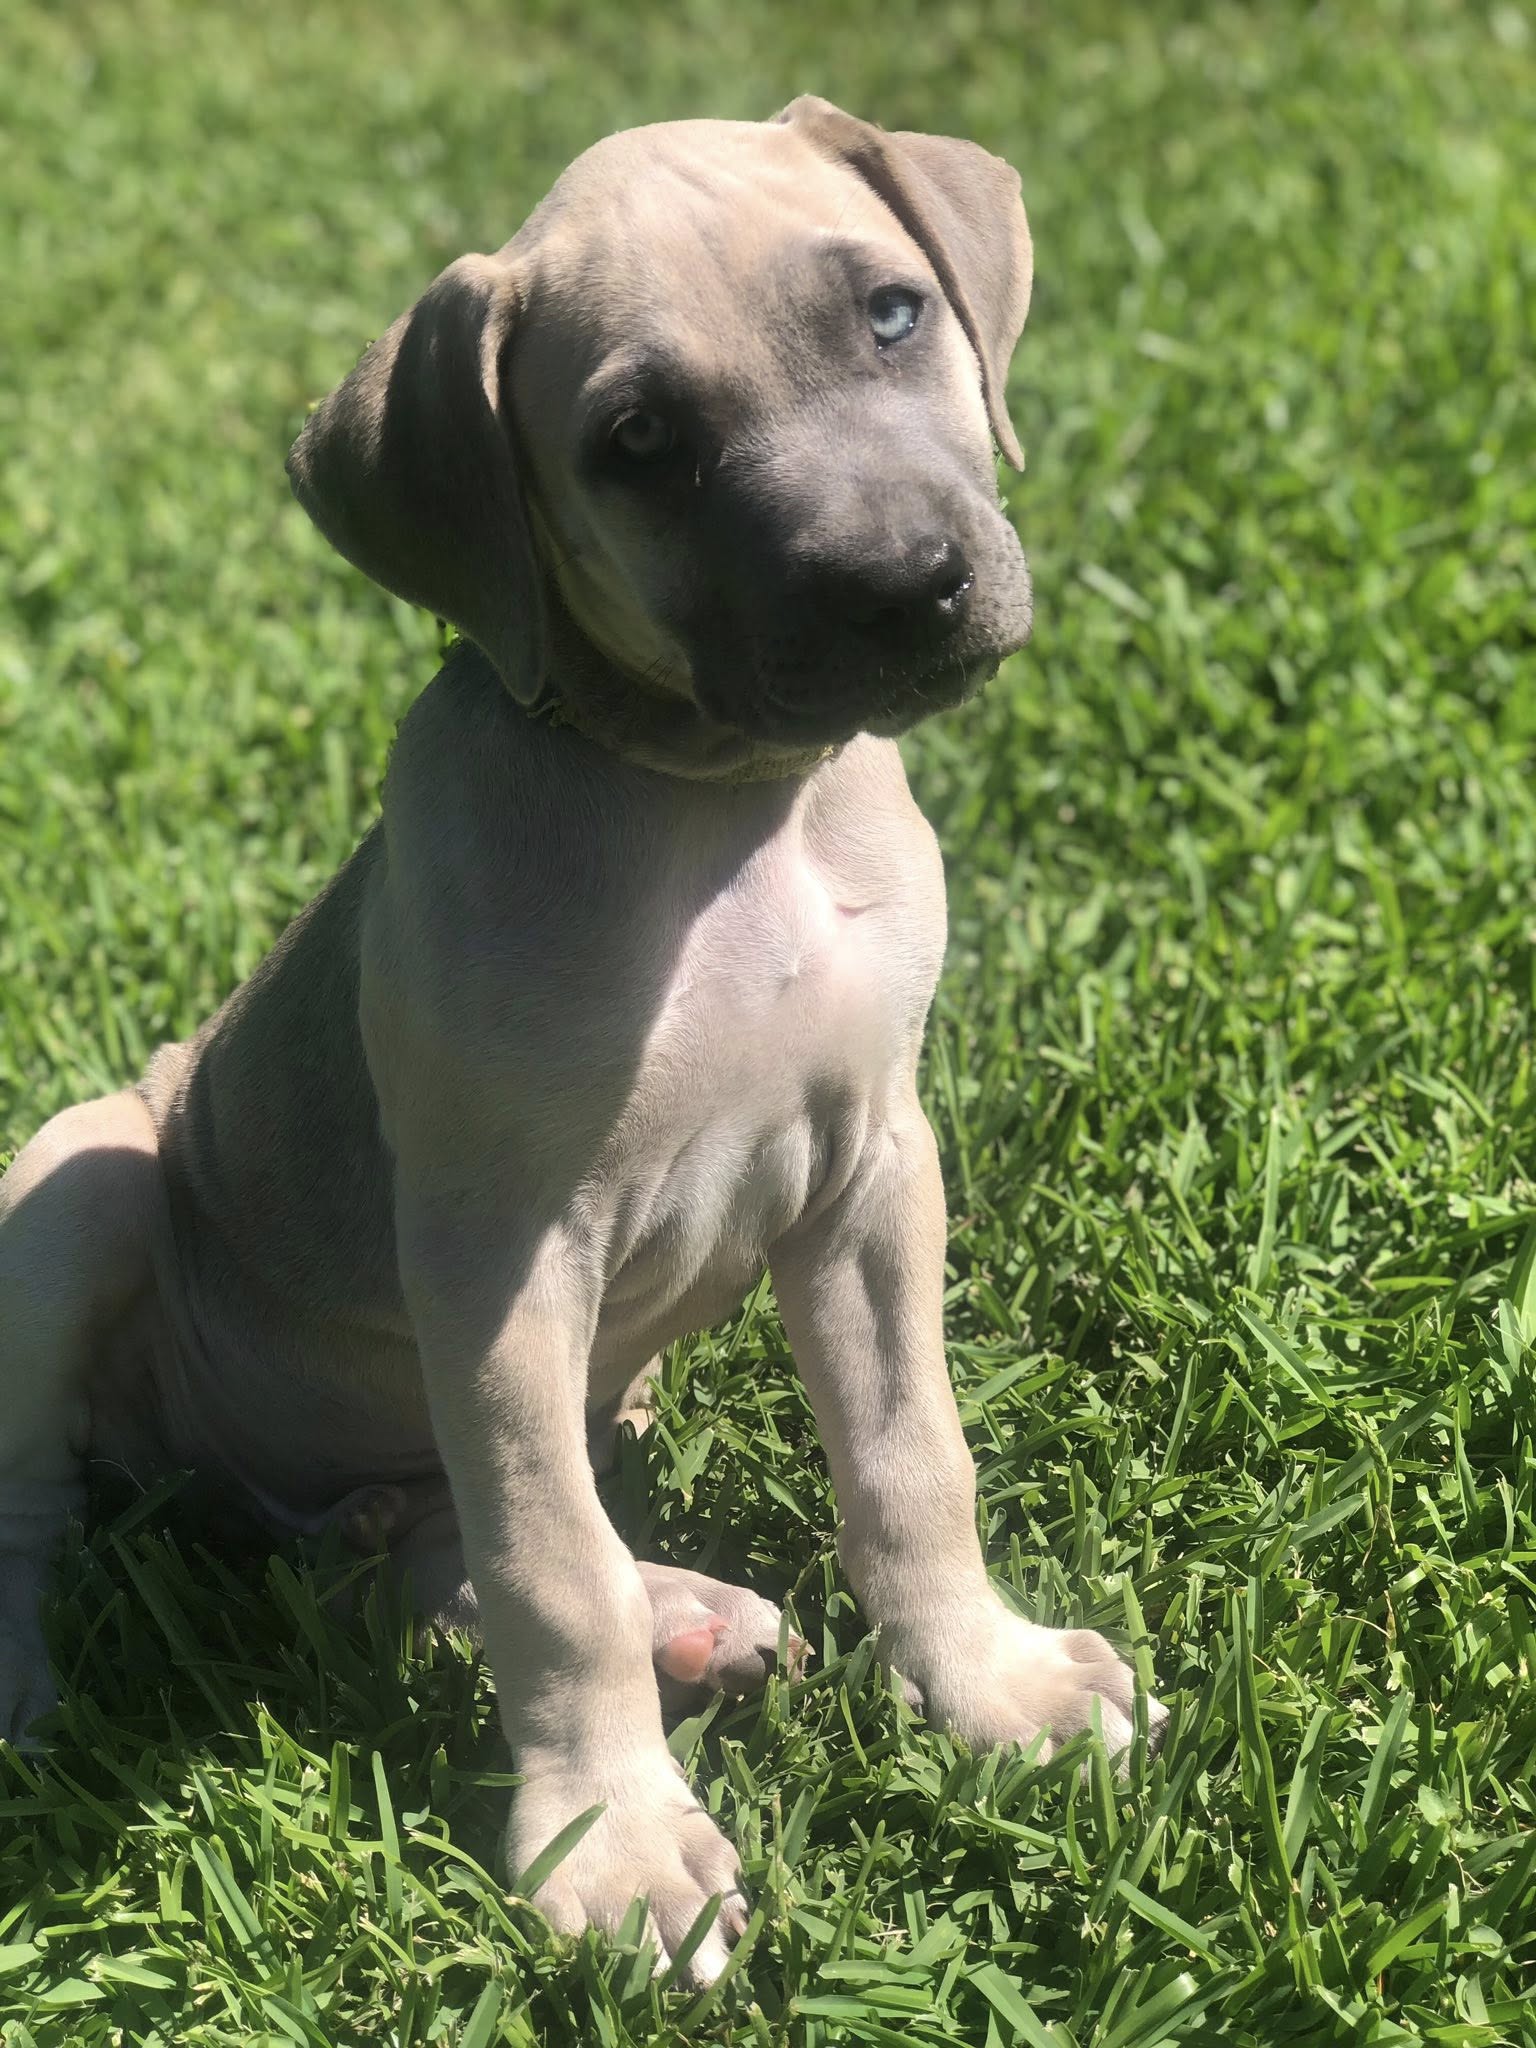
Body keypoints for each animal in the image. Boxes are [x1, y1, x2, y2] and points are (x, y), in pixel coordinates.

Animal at [0, 96, 1165, 1979]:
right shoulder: (496, 1263)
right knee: (44, 1512)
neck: (717, 814)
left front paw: (982, 1682)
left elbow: (913, 1453)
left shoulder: (873, 1170)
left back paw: (678, 1609)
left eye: (893, 313)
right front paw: (610, 1846)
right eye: (638, 442)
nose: (907, 586)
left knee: (414, 1558)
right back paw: (26, 1705)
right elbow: (555, 1571)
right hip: (83, 1176)